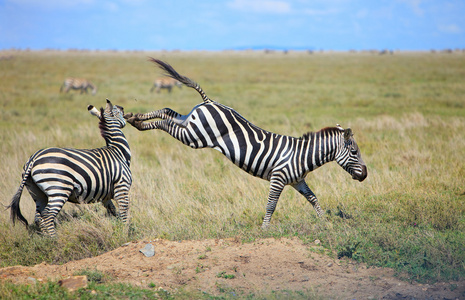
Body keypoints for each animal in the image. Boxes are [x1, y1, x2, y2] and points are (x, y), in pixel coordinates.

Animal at [8, 99, 131, 237]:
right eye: (117, 110)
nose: (123, 108)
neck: (118, 150)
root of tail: (33, 159)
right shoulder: (122, 186)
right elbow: (124, 212)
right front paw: (125, 232)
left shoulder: (105, 195)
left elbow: (113, 211)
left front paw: (117, 226)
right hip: (58, 188)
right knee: (47, 215)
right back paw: (54, 239)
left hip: (37, 192)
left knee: (38, 216)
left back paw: (45, 239)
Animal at [126, 58, 366, 227]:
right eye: (354, 151)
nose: (365, 175)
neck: (302, 156)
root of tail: (209, 101)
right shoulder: (278, 178)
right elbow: (271, 205)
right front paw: (264, 230)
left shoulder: (298, 181)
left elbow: (314, 199)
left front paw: (326, 223)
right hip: (195, 135)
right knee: (166, 122)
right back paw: (136, 121)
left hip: (190, 122)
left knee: (167, 112)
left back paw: (135, 118)